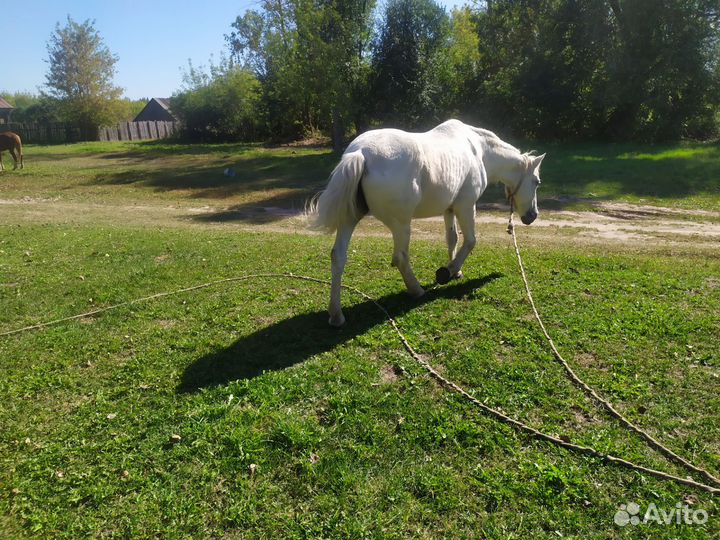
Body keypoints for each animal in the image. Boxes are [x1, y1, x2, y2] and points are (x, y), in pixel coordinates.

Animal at [307, 119, 545, 326]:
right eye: (536, 181)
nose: (532, 215)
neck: (478, 148)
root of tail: (361, 152)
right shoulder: (466, 206)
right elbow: (470, 241)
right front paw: (447, 272)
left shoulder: (449, 209)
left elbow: (452, 238)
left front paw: (455, 270)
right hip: (401, 224)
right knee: (400, 257)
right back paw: (416, 290)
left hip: (349, 219)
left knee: (338, 257)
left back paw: (336, 315)